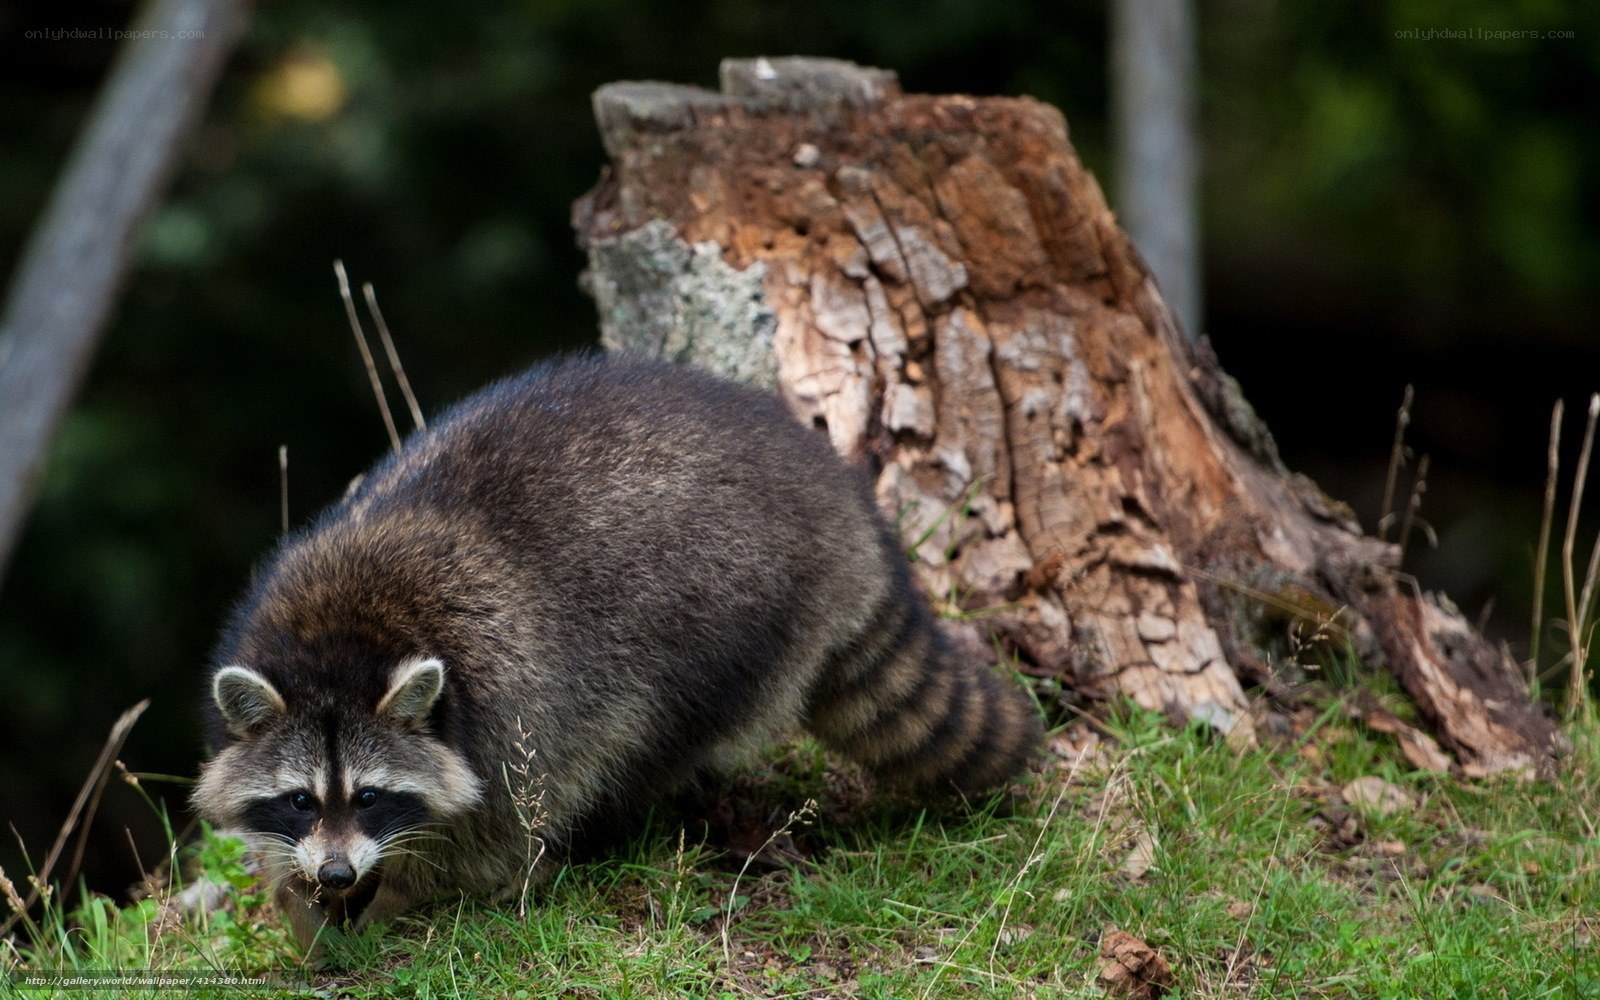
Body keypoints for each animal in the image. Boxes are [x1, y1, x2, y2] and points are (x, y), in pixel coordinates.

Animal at [193, 354, 1041, 946]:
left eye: (370, 797)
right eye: (301, 800)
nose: (338, 870)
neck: (340, 643)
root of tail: (841, 505)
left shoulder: (511, 709)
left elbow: (492, 839)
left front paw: (397, 900)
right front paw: (304, 897)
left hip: (732, 618)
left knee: (641, 739)